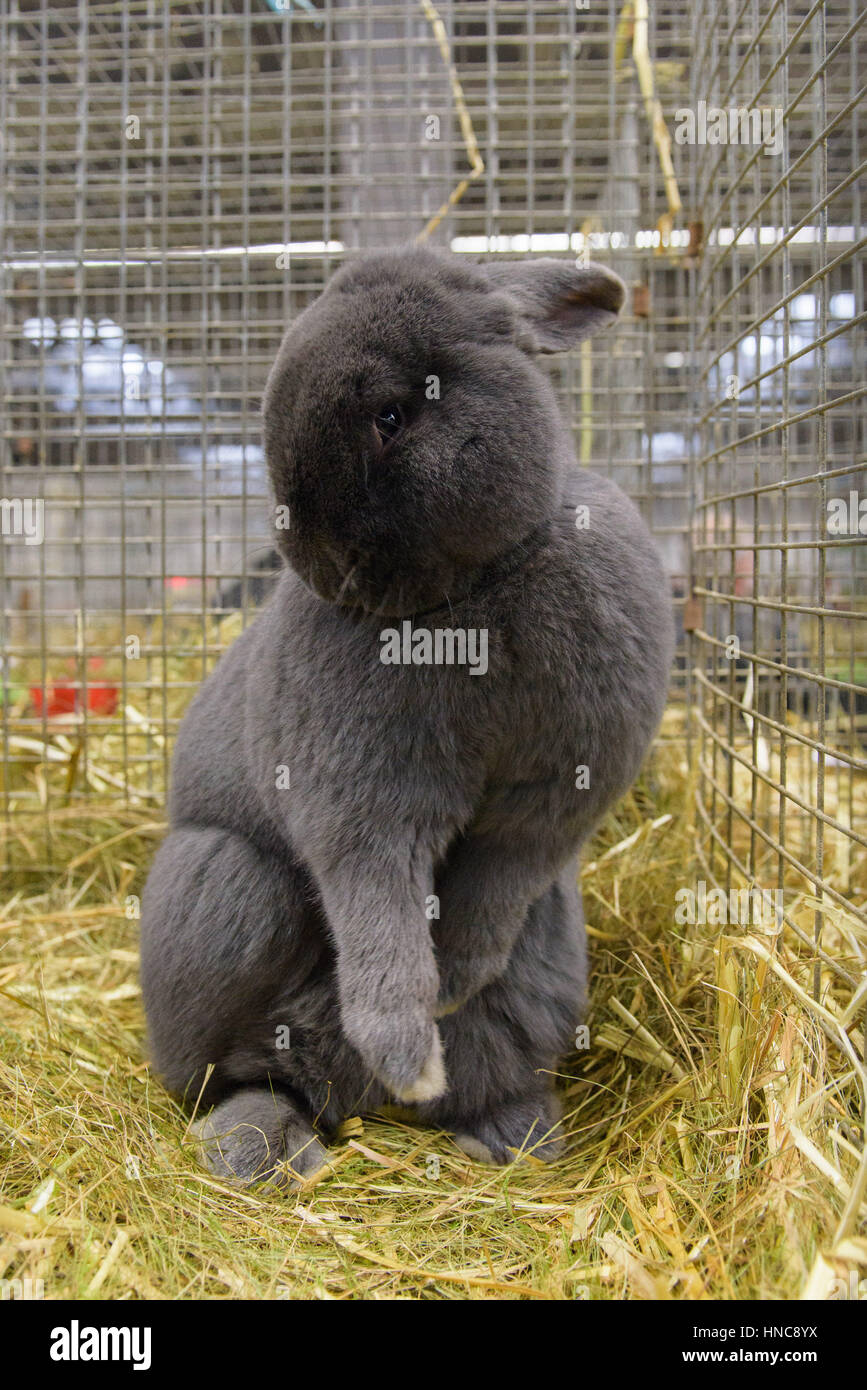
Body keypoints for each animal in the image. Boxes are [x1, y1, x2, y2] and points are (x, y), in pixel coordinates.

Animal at [139, 246, 675, 1184]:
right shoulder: (361, 803)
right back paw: (267, 1143)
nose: (316, 564)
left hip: (546, 966)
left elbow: (496, 883)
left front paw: (451, 990)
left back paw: (506, 1133)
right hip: (224, 887)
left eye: (391, 414)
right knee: (235, 1077)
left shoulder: (555, 797)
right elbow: (376, 903)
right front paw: (408, 1051)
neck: (467, 598)